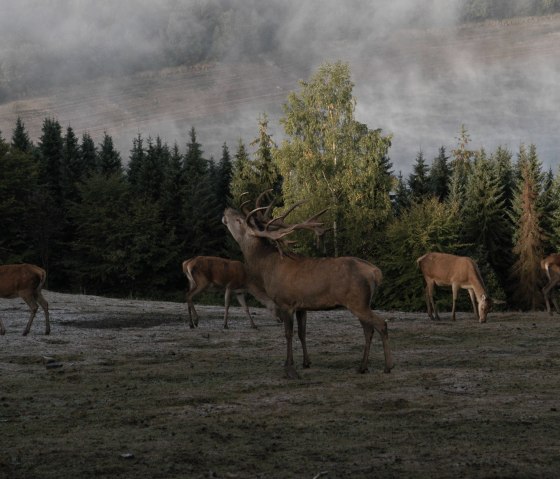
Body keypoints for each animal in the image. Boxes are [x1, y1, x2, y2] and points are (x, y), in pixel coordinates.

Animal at [221, 191, 392, 378]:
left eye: (240, 220)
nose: (226, 210)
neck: (266, 268)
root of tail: (375, 272)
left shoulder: (285, 302)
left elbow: (288, 334)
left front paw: (290, 369)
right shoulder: (301, 306)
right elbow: (302, 333)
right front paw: (305, 362)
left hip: (358, 301)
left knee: (381, 324)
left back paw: (387, 366)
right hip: (361, 303)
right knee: (368, 330)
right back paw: (362, 367)